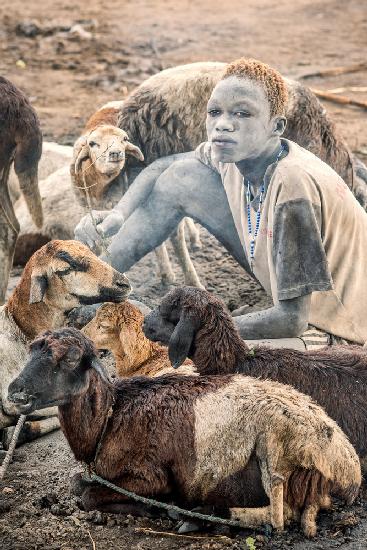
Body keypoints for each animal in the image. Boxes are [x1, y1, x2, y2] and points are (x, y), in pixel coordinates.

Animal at [7, 328, 362, 540]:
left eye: (69, 358)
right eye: (31, 349)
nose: (15, 391)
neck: (110, 417)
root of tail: (347, 462)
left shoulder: (149, 477)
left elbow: (88, 497)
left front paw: (153, 508)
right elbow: (78, 484)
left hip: (276, 454)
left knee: (280, 516)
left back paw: (200, 515)